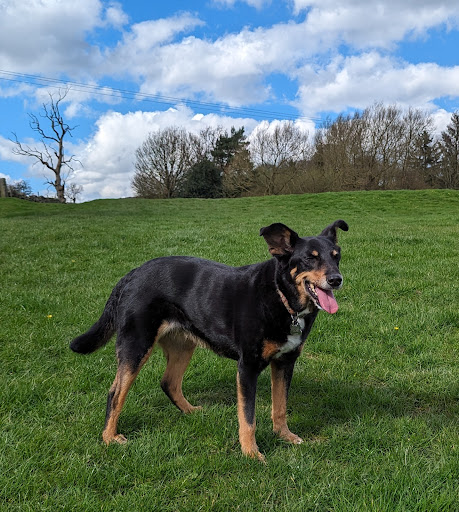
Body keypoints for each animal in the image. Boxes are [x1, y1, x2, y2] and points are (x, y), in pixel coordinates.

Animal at [70, 220, 348, 461]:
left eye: (336, 255)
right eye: (310, 257)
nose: (336, 279)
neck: (282, 299)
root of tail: (131, 274)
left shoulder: (285, 362)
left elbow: (280, 406)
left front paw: (285, 436)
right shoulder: (247, 367)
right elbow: (248, 418)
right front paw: (252, 454)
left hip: (183, 345)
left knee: (169, 382)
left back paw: (191, 412)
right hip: (136, 345)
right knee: (115, 393)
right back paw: (110, 437)